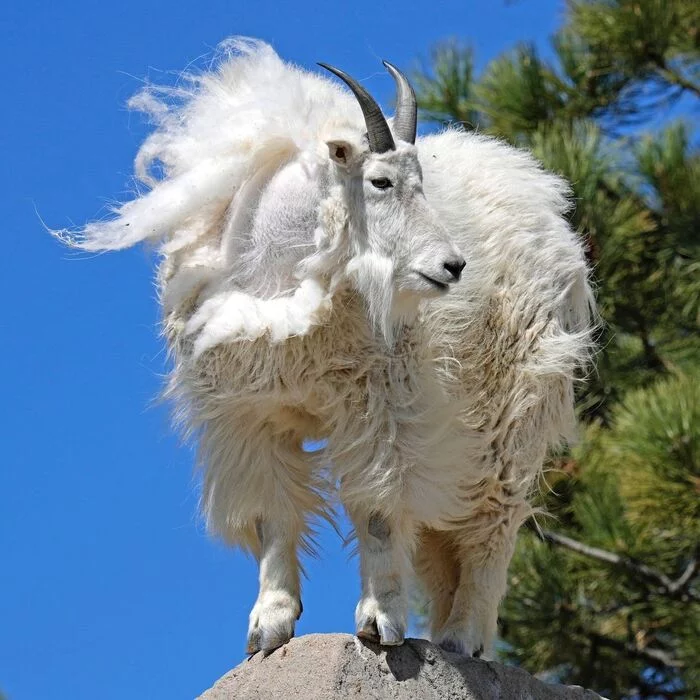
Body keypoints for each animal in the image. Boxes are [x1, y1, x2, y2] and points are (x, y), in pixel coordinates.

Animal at [57, 38, 592, 660]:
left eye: (422, 182)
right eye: (381, 182)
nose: (453, 266)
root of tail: (551, 214)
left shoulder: (375, 408)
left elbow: (377, 511)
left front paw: (379, 623)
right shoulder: (252, 416)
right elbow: (272, 516)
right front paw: (267, 628)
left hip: (514, 417)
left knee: (494, 524)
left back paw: (463, 637)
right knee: (446, 537)